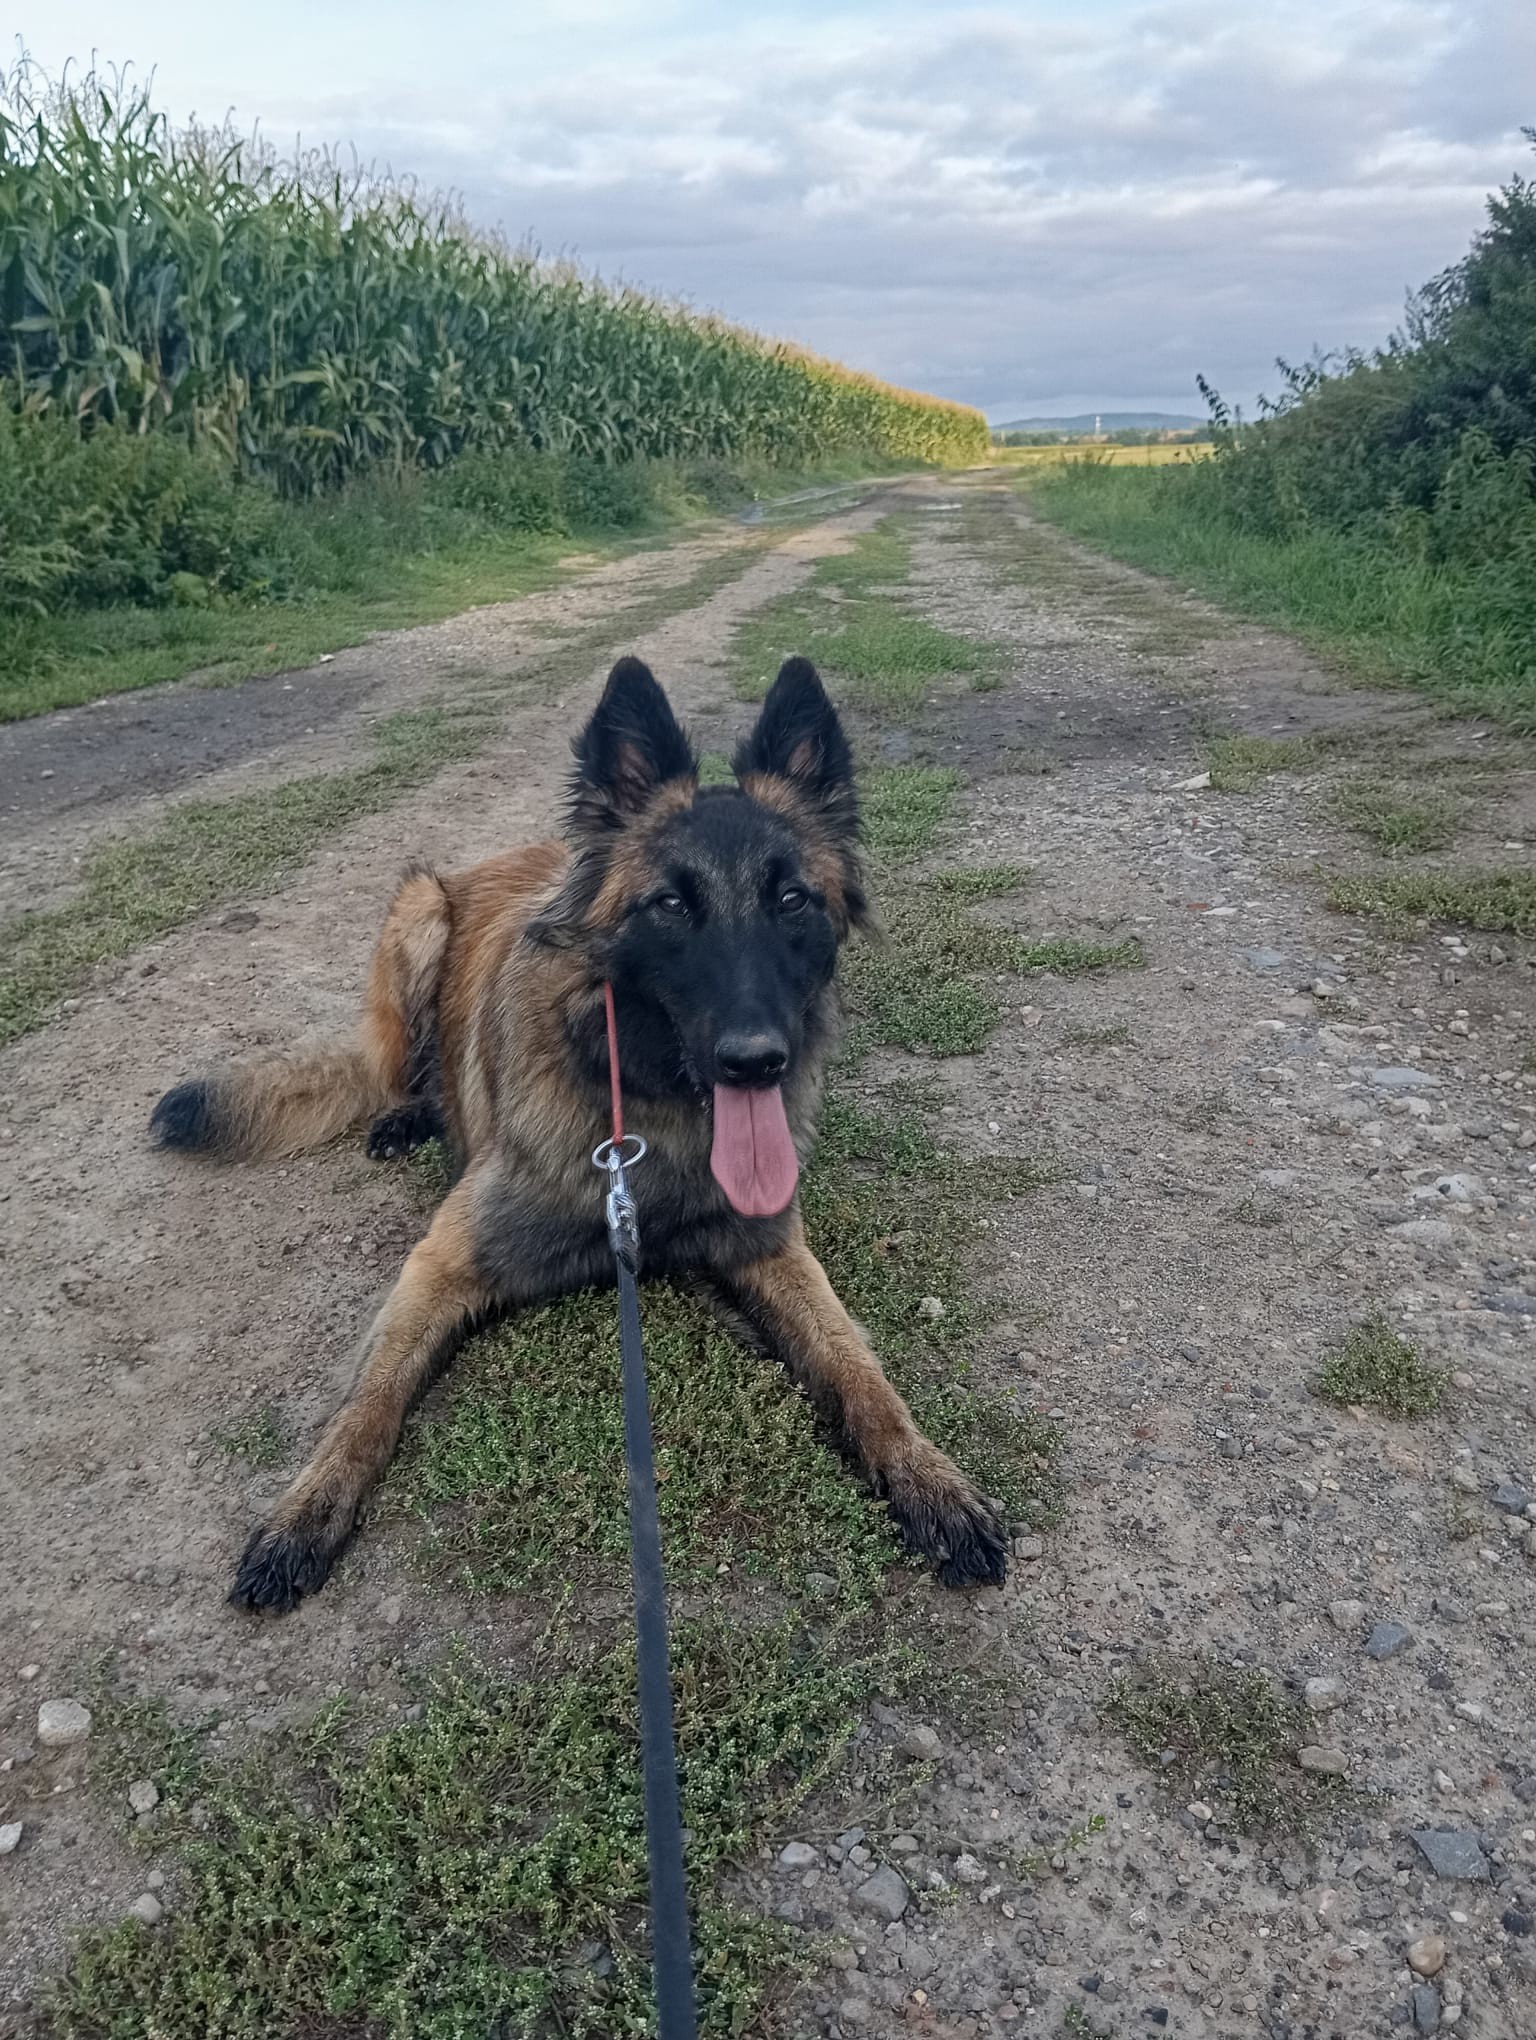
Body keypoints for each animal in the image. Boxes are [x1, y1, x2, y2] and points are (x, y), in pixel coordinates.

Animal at [151, 654, 1009, 1612]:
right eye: (670, 906)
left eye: (793, 900)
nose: (757, 1061)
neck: (645, 1115)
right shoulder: (442, 1262)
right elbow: (367, 1404)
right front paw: (306, 1510)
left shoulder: (770, 1249)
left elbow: (861, 1373)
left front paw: (931, 1482)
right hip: (417, 910)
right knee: (400, 1069)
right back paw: (407, 1113)